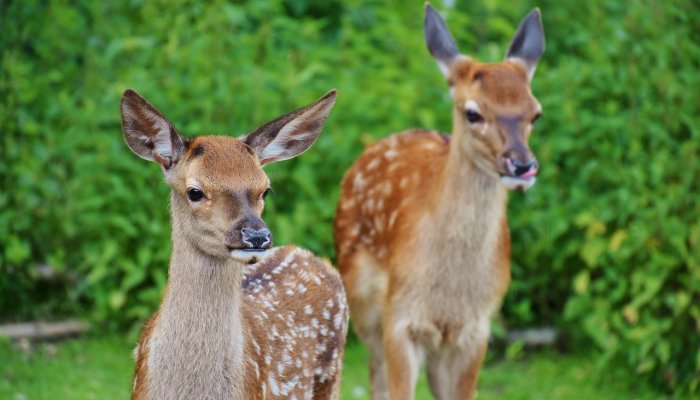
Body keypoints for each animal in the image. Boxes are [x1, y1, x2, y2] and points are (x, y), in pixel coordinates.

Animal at [334, 3, 548, 400]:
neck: (449, 292)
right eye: (473, 112)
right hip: (362, 299)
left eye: (535, 113)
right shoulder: (400, 316)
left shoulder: (476, 328)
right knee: (375, 371)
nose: (522, 164)